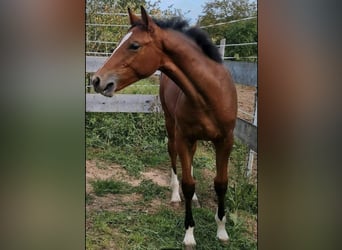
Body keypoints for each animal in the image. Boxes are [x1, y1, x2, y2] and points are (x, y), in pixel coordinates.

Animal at [91, 6, 236, 248]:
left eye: (134, 45)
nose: (97, 80)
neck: (209, 95)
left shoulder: (225, 141)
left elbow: (221, 183)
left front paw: (222, 231)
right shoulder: (184, 137)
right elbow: (188, 183)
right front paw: (189, 235)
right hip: (171, 127)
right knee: (173, 156)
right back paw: (176, 196)